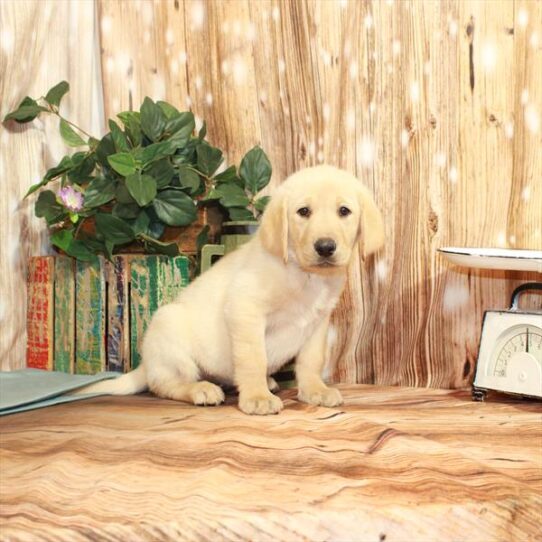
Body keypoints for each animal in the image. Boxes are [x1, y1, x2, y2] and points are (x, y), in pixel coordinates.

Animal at [79, 166, 386, 416]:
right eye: (303, 212)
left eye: (344, 211)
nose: (325, 247)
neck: (305, 275)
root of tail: (146, 364)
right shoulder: (245, 309)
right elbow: (253, 359)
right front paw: (257, 397)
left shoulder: (317, 323)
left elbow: (311, 361)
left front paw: (315, 391)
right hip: (169, 329)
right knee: (164, 384)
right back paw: (202, 389)